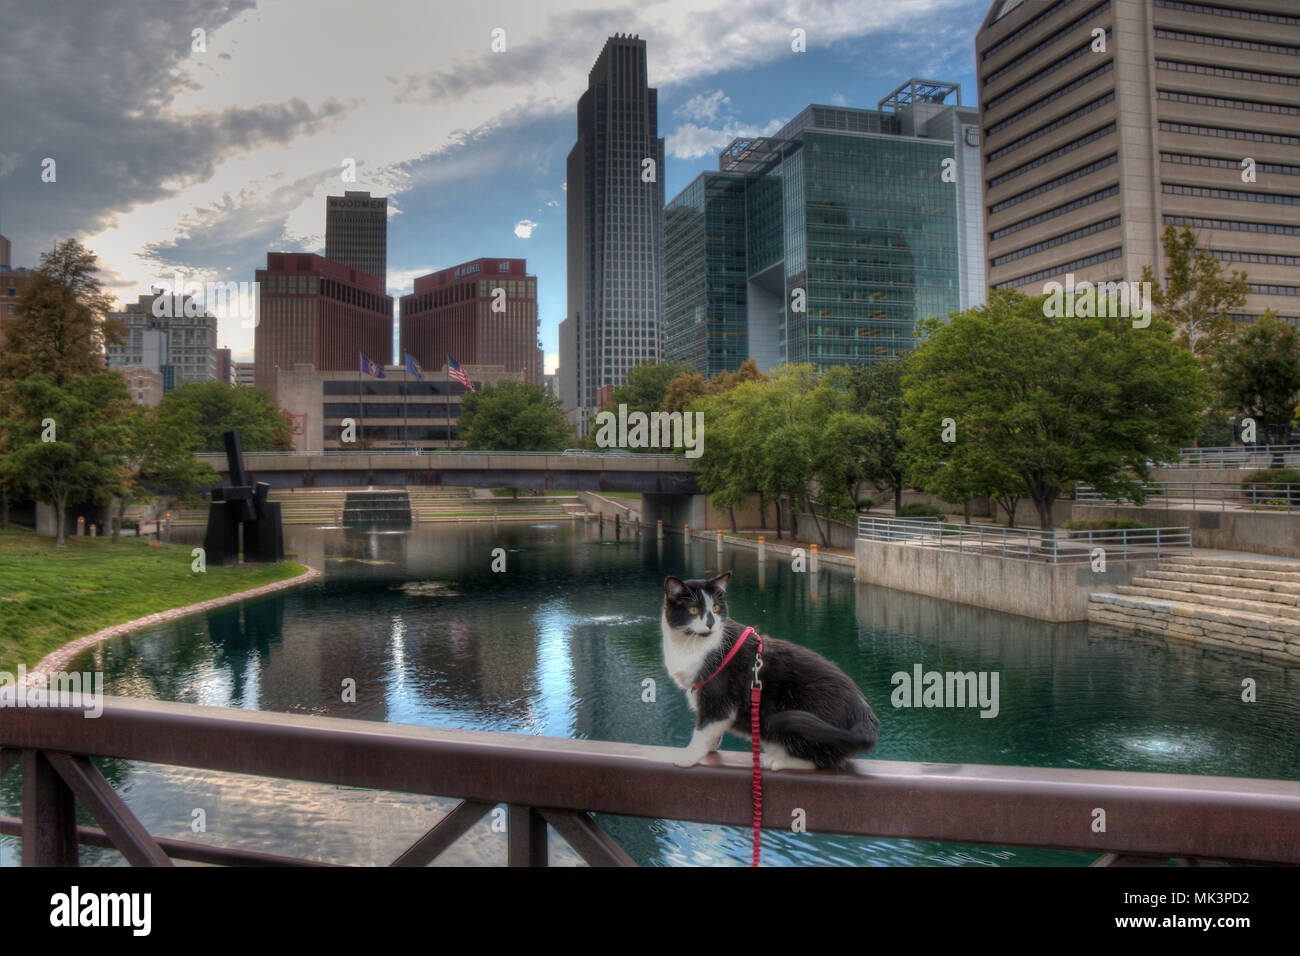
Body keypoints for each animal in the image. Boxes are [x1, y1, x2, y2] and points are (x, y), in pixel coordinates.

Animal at [660, 572, 883, 775]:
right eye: (694, 609)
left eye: (715, 608)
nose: (710, 623)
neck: (690, 645)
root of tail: (866, 716)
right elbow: (711, 732)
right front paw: (711, 748)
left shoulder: (718, 699)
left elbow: (703, 731)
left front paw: (688, 757)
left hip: (805, 717)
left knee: (822, 760)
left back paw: (777, 760)